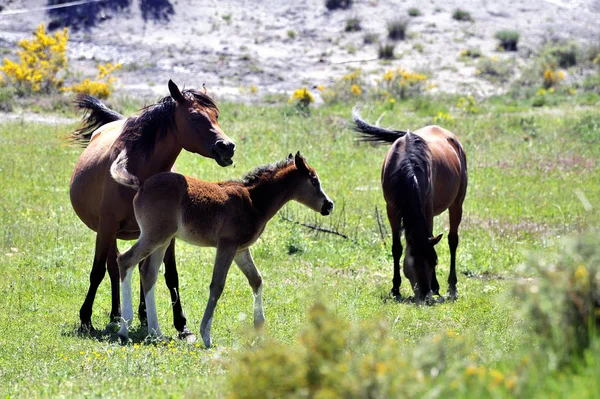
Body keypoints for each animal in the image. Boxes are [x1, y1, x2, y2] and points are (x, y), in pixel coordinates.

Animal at [69, 79, 236, 340]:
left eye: (216, 116)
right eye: (194, 117)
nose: (227, 147)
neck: (136, 169)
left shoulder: (168, 233)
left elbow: (170, 275)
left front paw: (182, 325)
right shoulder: (106, 228)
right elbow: (97, 272)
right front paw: (85, 319)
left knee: (136, 267)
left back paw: (141, 314)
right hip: (110, 233)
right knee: (114, 268)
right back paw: (116, 315)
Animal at [111, 152, 332, 346]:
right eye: (314, 181)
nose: (329, 205)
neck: (253, 201)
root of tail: (142, 185)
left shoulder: (241, 250)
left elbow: (256, 280)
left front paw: (260, 329)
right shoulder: (227, 245)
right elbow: (217, 285)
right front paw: (206, 335)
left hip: (163, 240)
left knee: (148, 273)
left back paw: (156, 332)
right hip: (154, 236)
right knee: (125, 260)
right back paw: (125, 327)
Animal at [352, 109, 468, 304]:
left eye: (434, 262)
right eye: (412, 262)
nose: (425, 295)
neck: (406, 168)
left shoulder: (427, 207)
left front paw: (435, 286)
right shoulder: (391, 209)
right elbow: (397, 248)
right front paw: (395, 289)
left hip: (457, 202)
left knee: (453, 240)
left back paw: (452, 287)